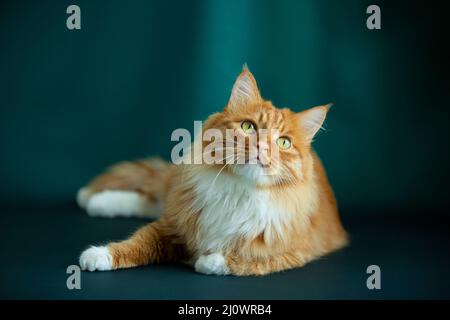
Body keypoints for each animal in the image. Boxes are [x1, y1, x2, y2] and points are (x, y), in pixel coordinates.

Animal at [77, 66, 348, 276]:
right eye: (248, 127)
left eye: (283, 143)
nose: (262, 147)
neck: (239, 193)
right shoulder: (171, 225)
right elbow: (136, 243)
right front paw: (99, 255)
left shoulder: (295, 253)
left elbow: (246, 262)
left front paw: (207, 261)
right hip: (177, 195)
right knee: (152, 198)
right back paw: (95, 201)